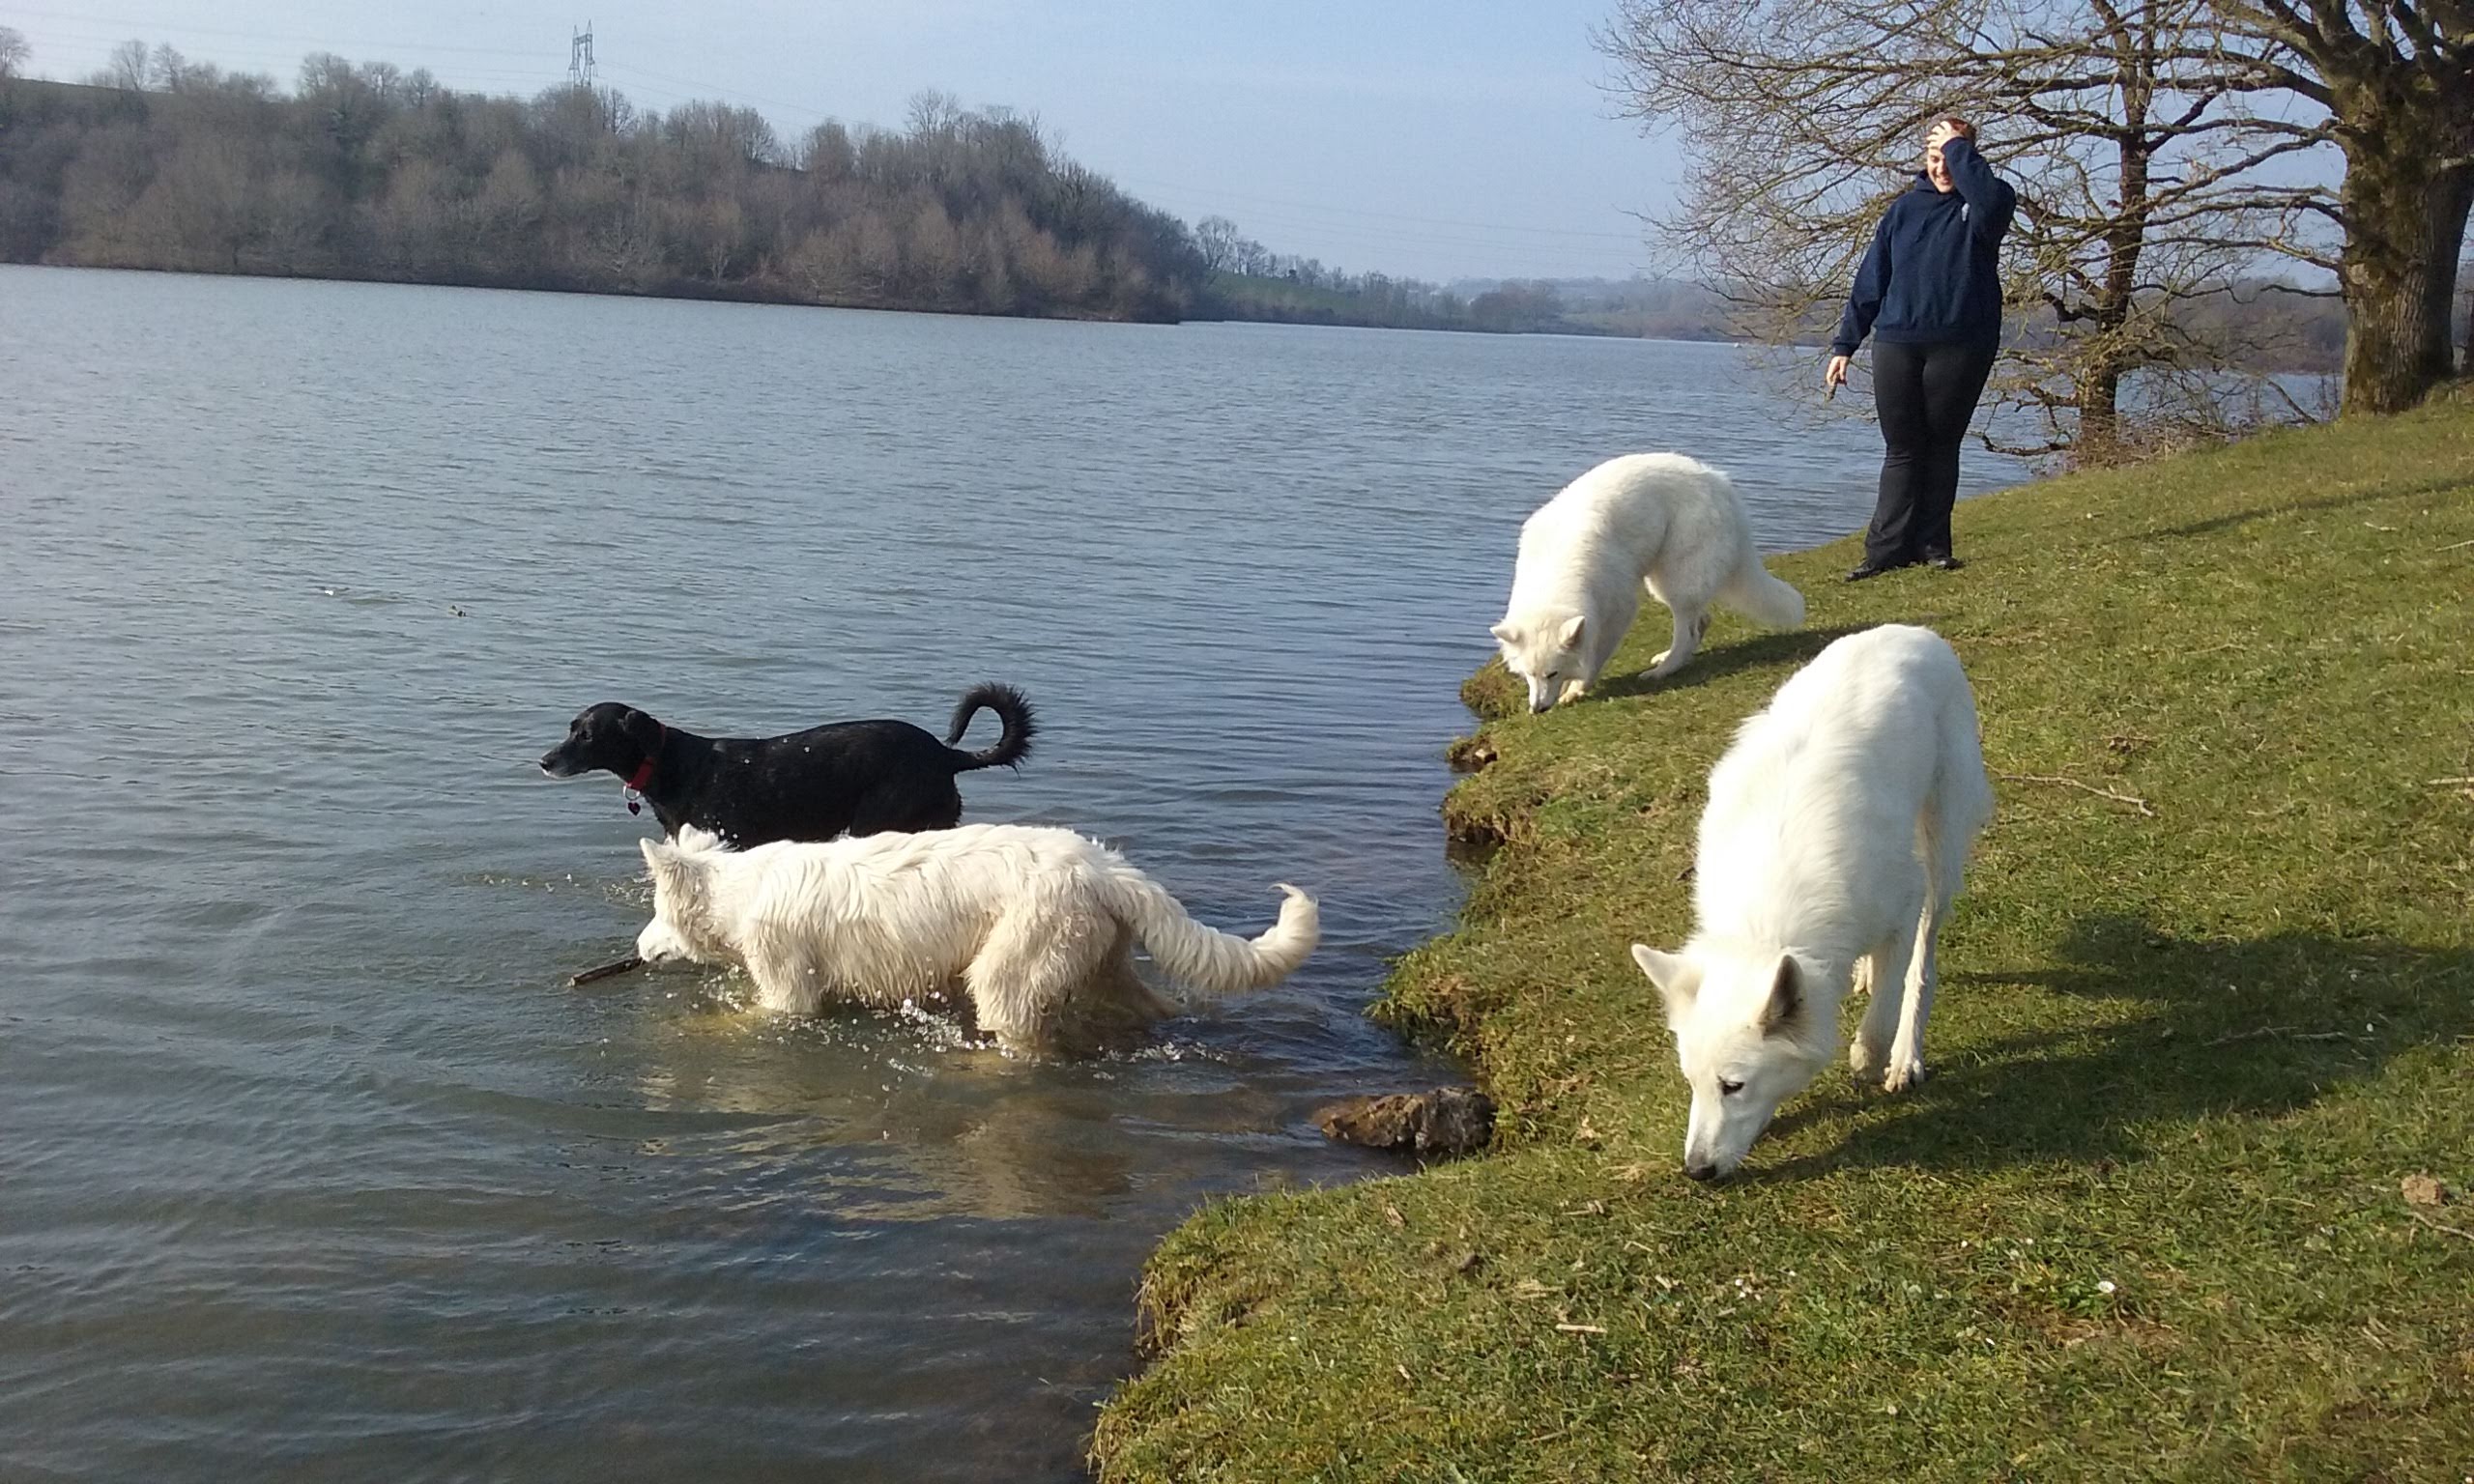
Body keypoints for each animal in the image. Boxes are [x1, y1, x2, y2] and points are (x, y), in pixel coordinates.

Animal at [541, 682, 1034, 845]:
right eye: (571, 727)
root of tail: (945, 754)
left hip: (877, 819)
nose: (544, 761)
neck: (673, 766)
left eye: (587, 736)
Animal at [638, 820, 1326, 1053]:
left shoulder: (790, 994)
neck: (741, 889)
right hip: (1102, 965)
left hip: (1010, 970)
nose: (639, 949)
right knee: (1156, 1007)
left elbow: (745, 1020)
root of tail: (1103, 866)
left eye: (656, 909)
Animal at [1474, 452, 1810, 712]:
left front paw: (1578, 687)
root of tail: (1720, 483)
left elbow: (1595, 654)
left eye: (1553, 673)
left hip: (1674, 580)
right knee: (1701, 620)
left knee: (1687, 630)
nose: (1537, 709)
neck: (1554, 574)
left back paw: (1664, 669)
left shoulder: (1618, 610)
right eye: (1529, 675)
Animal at [1632, 625, 1999, 1182]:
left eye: (1733, 1086)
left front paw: (1871, 1058)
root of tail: (1914, 631)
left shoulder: (1903, 900)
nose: (1696, 1171)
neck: (1764, 929)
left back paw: (1905, 1053)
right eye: (1691, 1081)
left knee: (1923, 961)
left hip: (1940, 847)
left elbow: (1886, 1005)